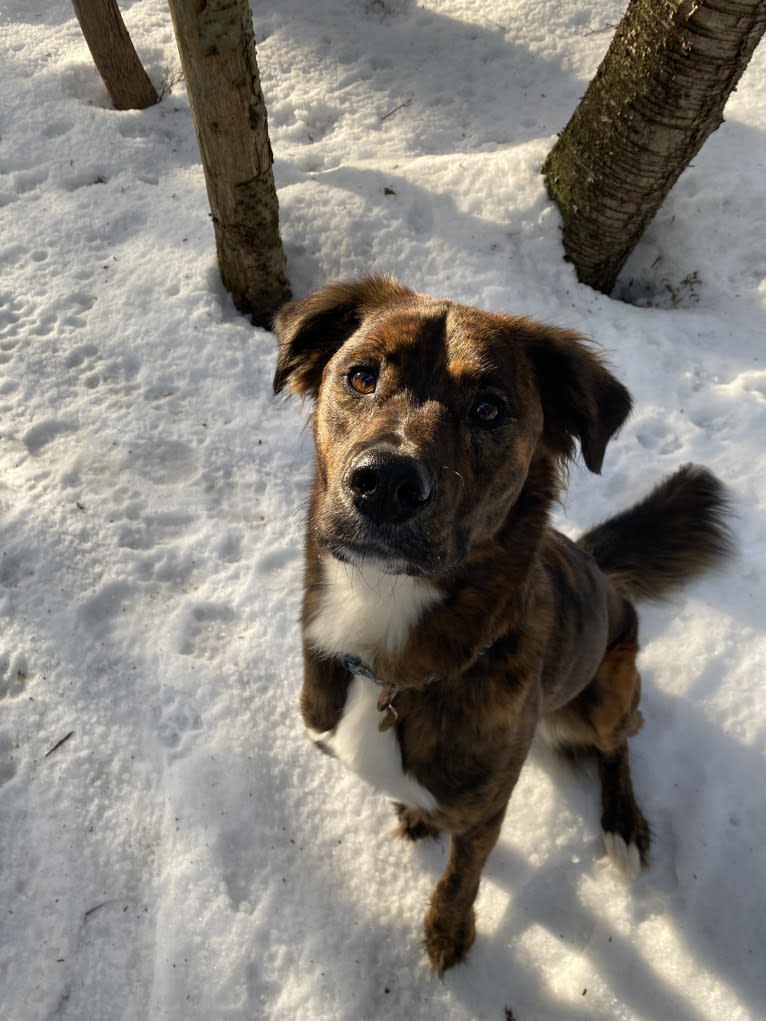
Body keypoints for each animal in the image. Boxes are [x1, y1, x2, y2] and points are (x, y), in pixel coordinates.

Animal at [273, 277, 735, 971]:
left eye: (489, 409)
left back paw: (623, 825)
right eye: (361, 376)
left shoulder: (489, 811)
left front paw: (448, 934)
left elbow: (460, 879)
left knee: (621, 740)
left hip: (606, 691)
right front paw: (420, 818)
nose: (385, 484)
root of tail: (599, 569)